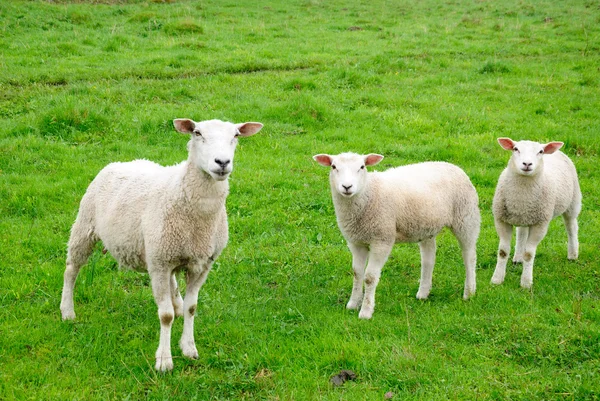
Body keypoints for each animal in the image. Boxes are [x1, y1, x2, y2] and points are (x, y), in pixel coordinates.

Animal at [60, 117, 262, 370]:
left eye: (235, 136)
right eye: (197, 133)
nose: (222, 162)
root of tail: (122, 162)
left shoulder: (202, 263)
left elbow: (191, 307)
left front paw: (188, 347)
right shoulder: (158, 263)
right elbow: (165, 316)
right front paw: (164, 360)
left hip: (166, 250)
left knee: (173, 283)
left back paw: (176, 303)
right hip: (86, 226)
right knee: (71, 269)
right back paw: (67, 310)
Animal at [312, 153, 480, 318]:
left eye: (362, 166)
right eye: (334, 166)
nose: (347, 187)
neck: (368, 192)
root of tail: (452, 165)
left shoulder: (382, 239)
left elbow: (369, 277)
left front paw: (366, 311)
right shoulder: (356, 242)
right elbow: (357, 273)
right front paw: (352, 304)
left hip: (466, 217)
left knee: (469, 256)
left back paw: (469, 292)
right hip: (426, 226)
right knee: (428, 259)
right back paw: (423, 293)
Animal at [492, 138, 580, 288]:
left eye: (540, 152)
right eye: (515, 149)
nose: (527, 164)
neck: (521, 198)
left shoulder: (540, 224)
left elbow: (529, 254)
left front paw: (526, 283)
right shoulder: (501, 220)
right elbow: (503, 252)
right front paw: (497, 279)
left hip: (572, 203)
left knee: (571, 228)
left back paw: (573, 255)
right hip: (525, 217)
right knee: (521, 233)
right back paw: (517, 258)